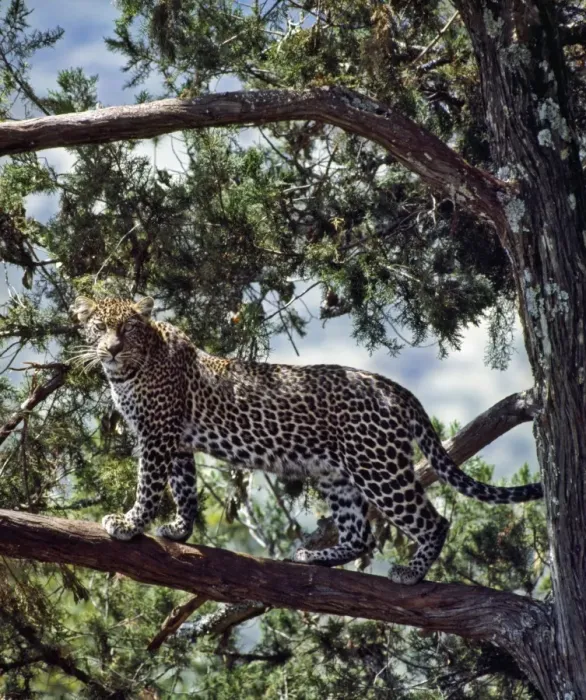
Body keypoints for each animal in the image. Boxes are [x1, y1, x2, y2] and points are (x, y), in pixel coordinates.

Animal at [72, 296, 543, 585]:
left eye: (127, 328)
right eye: (99, 327)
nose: (111, 349)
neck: (128, 370)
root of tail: (392, 387)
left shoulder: (156, 435)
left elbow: (149, 485)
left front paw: (129, 524)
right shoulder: (178, 441)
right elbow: (184, 488)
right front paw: (179, 530)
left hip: (379, 468)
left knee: (433, 521)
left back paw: (411, 573)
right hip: (337, 474)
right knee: (360, 533)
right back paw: (316, 557)